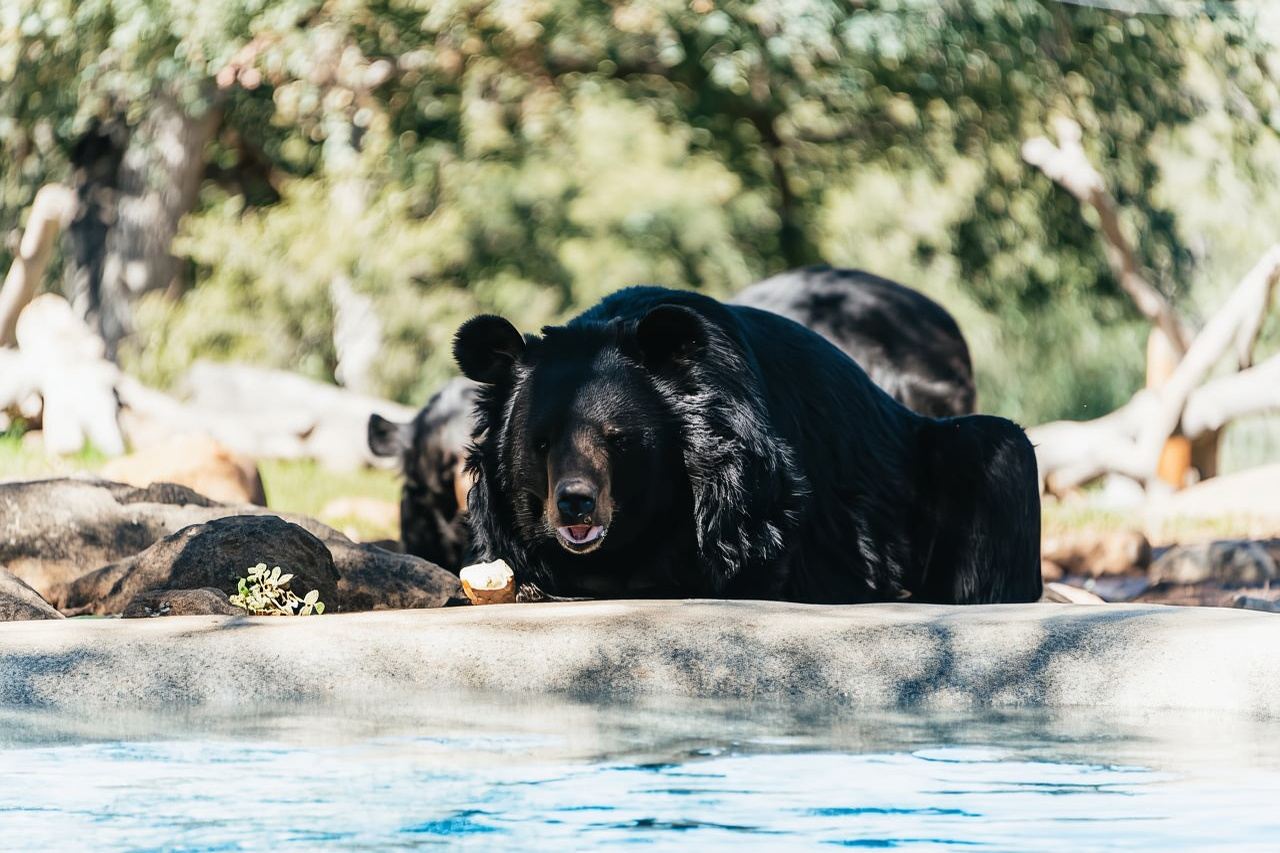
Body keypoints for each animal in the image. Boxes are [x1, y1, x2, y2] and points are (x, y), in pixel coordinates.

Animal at [453, 286, 1041, 604]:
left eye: (617, 439)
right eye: (541, 443)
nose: (575, 503)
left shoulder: (752, 492)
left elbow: (740, 557)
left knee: (997, 452)